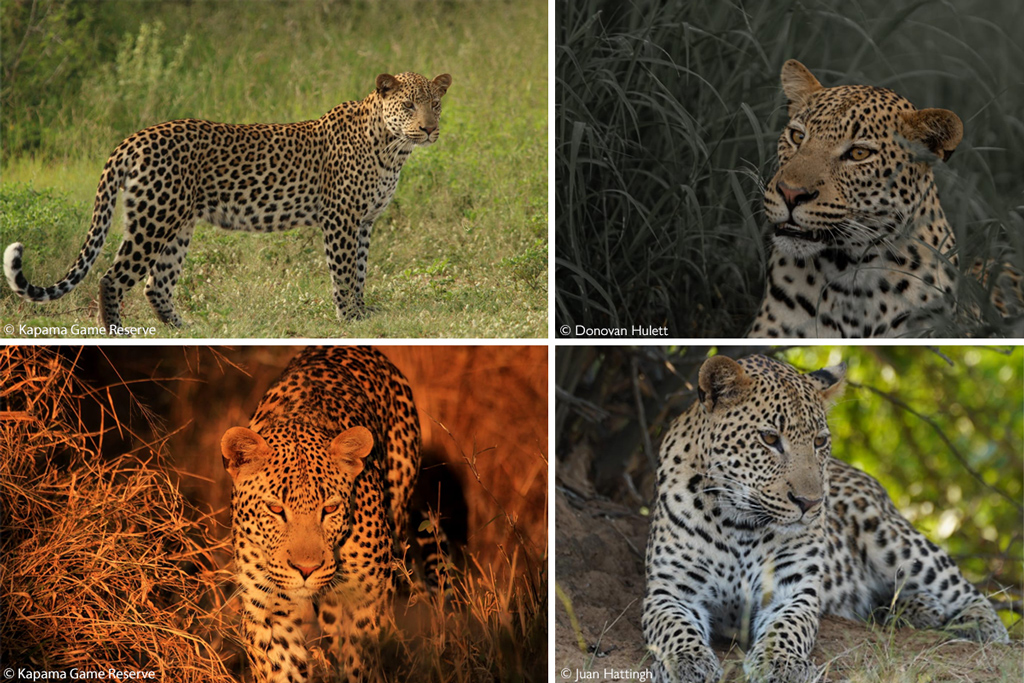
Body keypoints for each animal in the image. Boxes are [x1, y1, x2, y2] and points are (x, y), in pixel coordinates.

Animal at [4, 72, 451, 334]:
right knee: (112, 278)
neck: (393, 148)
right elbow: (342, 273)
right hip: (153, 221)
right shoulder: (341, 219)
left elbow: (359, 271)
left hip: (177, 226)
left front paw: (362, 313)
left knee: (156, 284)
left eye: (436, 103)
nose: (430, 129)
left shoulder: (364, 222)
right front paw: (349, 321)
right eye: (409, 105)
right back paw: (120, 332)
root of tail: (134, 138)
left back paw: (184, 329)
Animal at [220, 346, 420, 683]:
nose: (306, 569)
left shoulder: (367, 601)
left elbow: (362, 661)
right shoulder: (267, 610)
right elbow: (281, 667)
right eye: (276, 509)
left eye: (329, 509)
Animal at [643, 354, 1009, 683]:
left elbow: (787, 628)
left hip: (893, 539)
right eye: (769, 439)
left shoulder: (793, 591)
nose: (810, 503)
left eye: (819, 441)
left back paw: (980, 625)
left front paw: (781, 664)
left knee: (963, 588)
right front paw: (687, 662)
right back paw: (918, 608)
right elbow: (674, 627)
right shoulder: (670, 590)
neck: (739, 523)